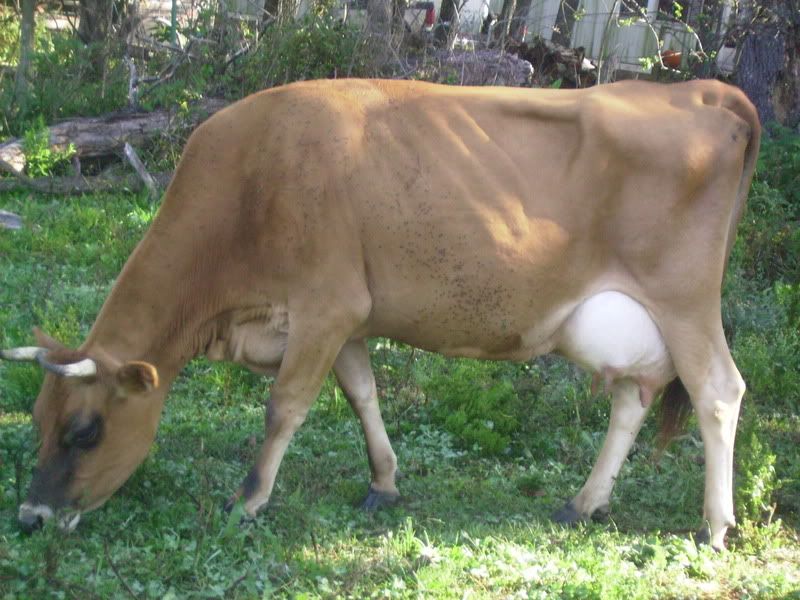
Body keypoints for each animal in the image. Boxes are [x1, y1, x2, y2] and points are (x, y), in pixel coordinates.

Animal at [1, 78, 760, 550]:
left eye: (86, 431)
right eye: (36, 419)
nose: (31, 517)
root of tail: (696, 89)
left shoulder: (325, 303)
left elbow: (284, 407)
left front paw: (247, 502)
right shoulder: (346, 317)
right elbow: (362, 394)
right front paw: (385, 484)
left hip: (685, 299)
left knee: (719, 391)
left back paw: (713, 526)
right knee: (632, 399)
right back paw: (582, 503)